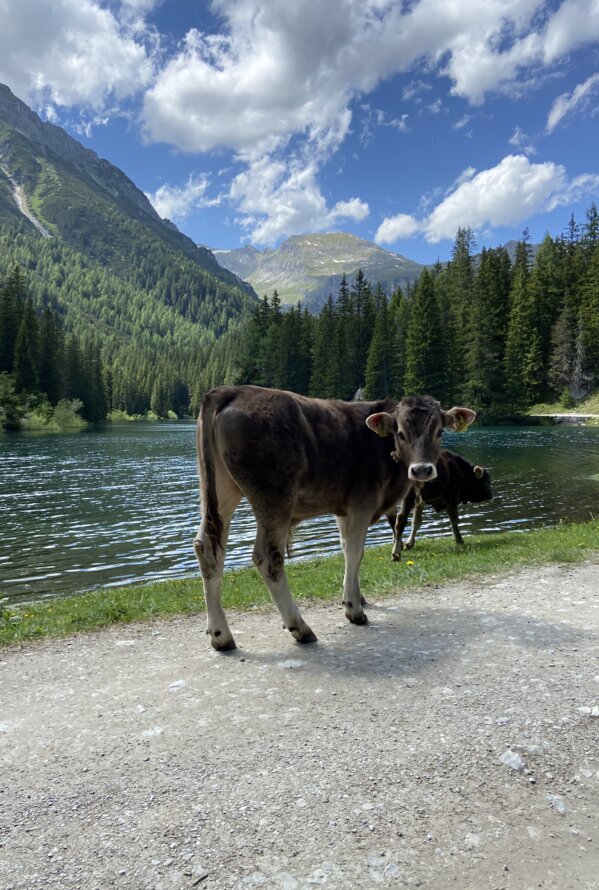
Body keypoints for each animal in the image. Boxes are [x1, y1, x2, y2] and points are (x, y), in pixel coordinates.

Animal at [195, 386, 476, 648]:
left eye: (439, 432)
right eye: (401, 433)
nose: (422, 470)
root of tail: (233, 390)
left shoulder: (344, 508)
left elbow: (347, 550)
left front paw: (358, 596)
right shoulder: (362, 503)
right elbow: (355, 551)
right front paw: (354, 609)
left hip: (222, 493)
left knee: (208, 550)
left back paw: (221, 636)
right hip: (274, 496)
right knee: (268, 559)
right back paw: (300, 628)